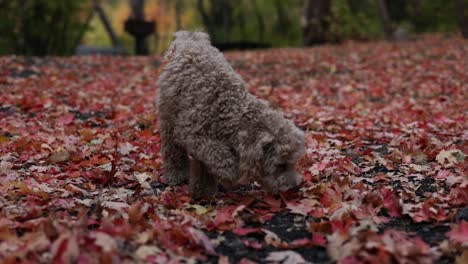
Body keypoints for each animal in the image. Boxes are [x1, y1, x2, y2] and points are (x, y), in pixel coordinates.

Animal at [155, 31, 306, 198]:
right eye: (281, 165)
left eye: (293, 163)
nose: (295, 187)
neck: (231, 113)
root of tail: (190, 38)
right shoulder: (191, 133)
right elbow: (217, 153)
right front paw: (228, 174)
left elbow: (203, 166)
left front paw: (203, 192)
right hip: (168, 119)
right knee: (172, 151)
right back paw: (176, 175)